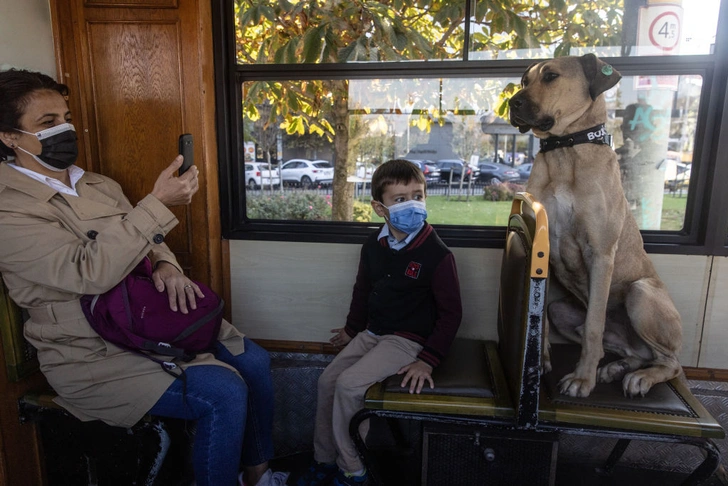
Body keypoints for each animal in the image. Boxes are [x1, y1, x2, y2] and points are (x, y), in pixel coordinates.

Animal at [506, 54, 684, 398]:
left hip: (641, 294)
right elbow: (542, 318)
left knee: (671, 362)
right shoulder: (542, 248)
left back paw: (640, 377)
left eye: (551, 76)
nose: (512, 102)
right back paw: (618, 367)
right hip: (563, 311)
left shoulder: (600, 253)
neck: (565, 150)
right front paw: (541, 359)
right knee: (631, 352)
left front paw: (582, 379)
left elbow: (593, 326)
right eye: (524, 81)